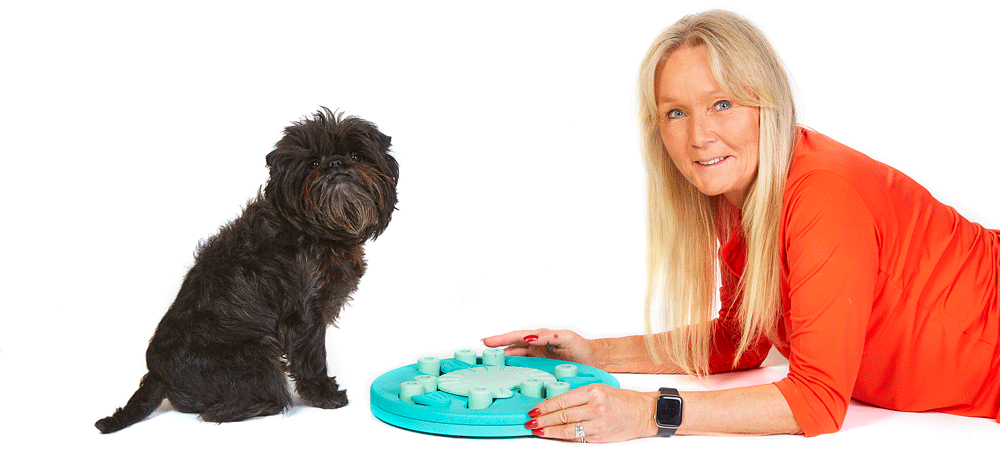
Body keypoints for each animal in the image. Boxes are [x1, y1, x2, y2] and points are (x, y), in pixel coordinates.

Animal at [94, 108, 398, 434]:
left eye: (356, 156)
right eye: (314, 163)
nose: (336, 164)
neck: (318, 230)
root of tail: (156, 375)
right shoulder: (304, 316)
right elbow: (311, 357)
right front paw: (324, 395)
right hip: (258, 352)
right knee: (222, 409)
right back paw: (262, 404)